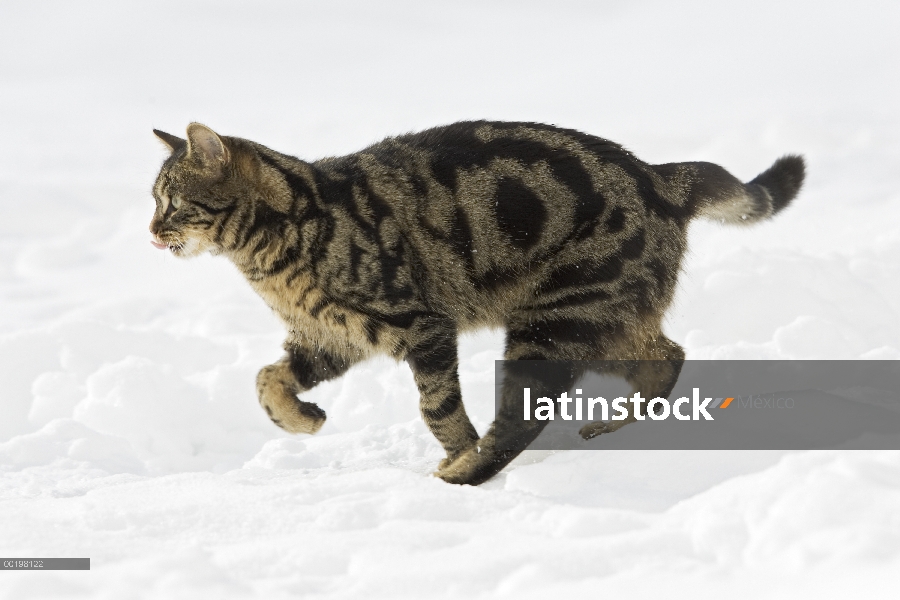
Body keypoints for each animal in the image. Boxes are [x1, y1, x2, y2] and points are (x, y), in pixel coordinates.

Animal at [151, 119, 804, 486]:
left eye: (172, 201)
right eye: (155, 200)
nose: (151, 231)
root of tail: (658, 174)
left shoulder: (421, 325)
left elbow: (439, 409)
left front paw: (456, 452)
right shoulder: (333, 337)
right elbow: (267, 379)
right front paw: (303, 419)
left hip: (553, 323)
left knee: (521, 419)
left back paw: (465, 475)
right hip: (601, 321)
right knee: (668, 355)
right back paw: (610, 430)